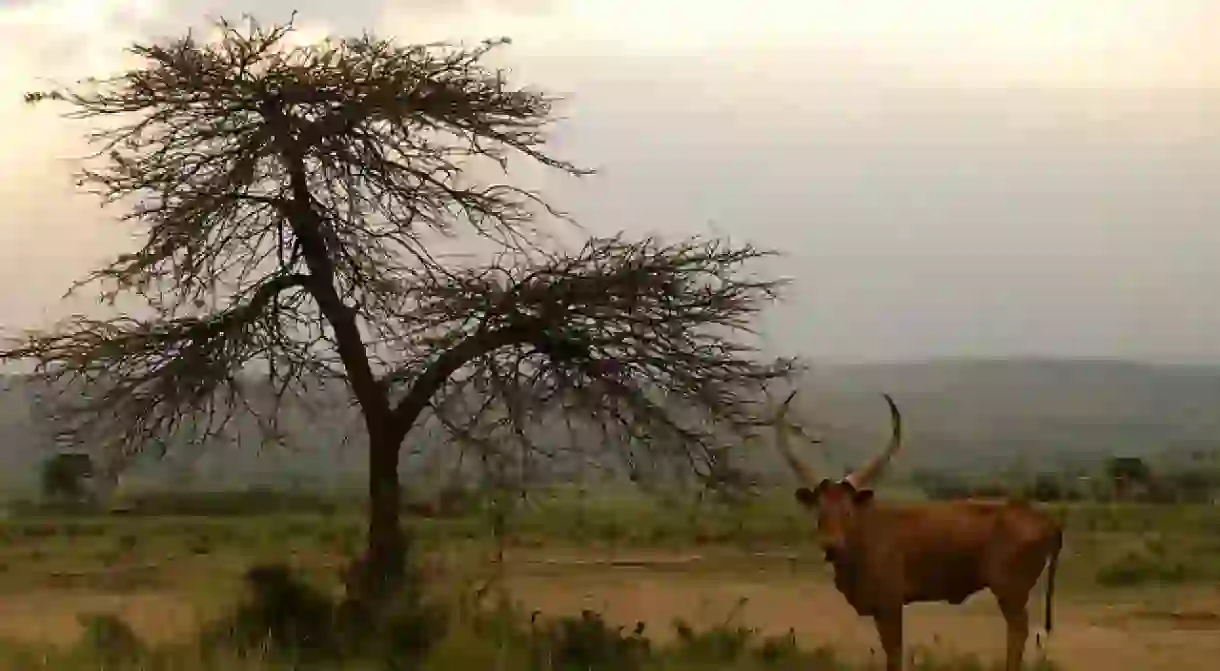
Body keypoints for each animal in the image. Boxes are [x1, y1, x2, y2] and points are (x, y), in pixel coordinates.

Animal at [775, 392, 1063, 668]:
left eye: (848, 510)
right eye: (819, 510)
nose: (831, 544)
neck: (864, 537)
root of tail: (1044, 518)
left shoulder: (890, 606)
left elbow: (895, 655)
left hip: (1011, 592)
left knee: (1018, 633)